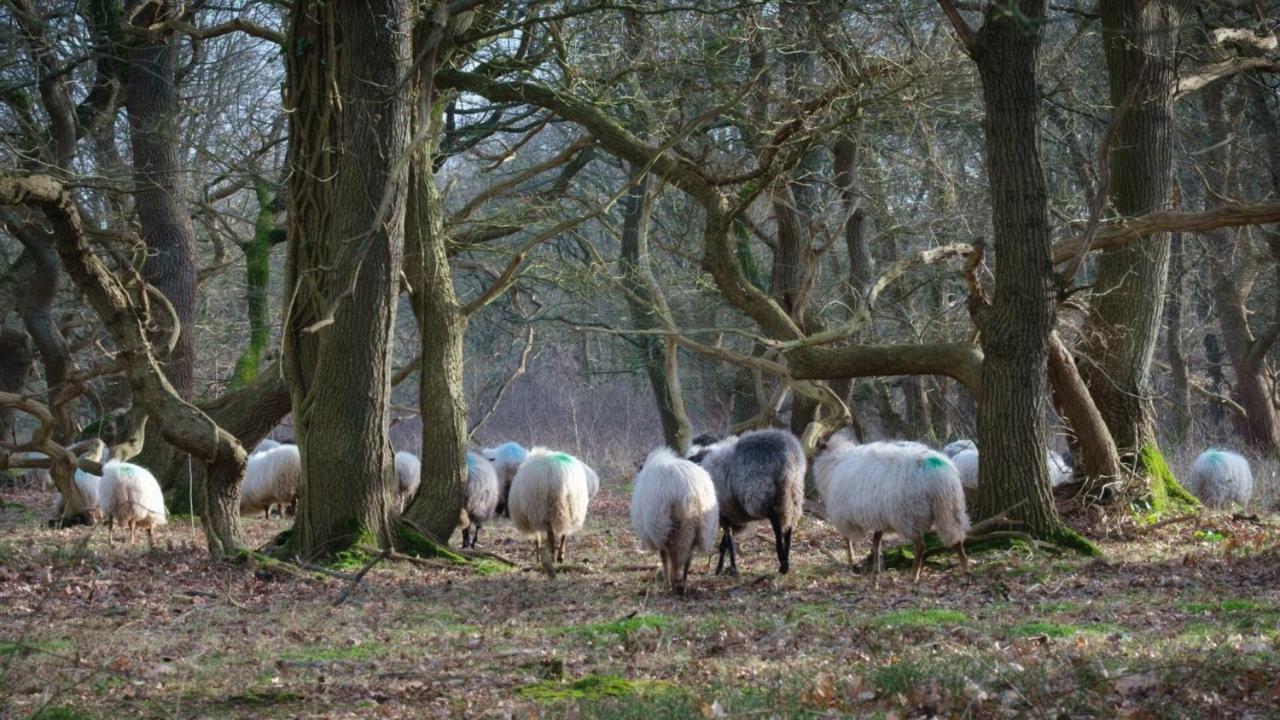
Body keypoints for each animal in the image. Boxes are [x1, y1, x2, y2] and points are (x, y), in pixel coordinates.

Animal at [506, 445, 591, 573]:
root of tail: (560, 476)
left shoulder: (533, 515)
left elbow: (538, 539)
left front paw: (538, 558)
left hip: (545, 509)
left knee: (550, 535)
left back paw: (552, 556)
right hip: (572, 508)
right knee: (564, 532)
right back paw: (560, 555)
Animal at [629, 445, 721, 591]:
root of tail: (689, 491)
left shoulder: (657, 534)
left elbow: (663, 556)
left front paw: (666, 582)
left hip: (663, 522)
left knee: (672, 552)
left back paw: (672, 583)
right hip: (700, 525)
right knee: (688, 555)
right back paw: (682, 583)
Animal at [696, 427, 803, 573]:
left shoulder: (724, 513)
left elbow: (728, 541)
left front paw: (731, 569)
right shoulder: (732, 516)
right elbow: (725, 543)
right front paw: (721, 568)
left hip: (758, 492)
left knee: (775, 519)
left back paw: (781, 558)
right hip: (792, 492)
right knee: (788, 523)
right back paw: (785, 562)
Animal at [819, 438, 967, 584]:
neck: (834, 462)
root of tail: (940, 474)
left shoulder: (844, 516)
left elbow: (848, 539)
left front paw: (852, 561)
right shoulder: (879, 517)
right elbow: (876, 542)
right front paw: (876, 569)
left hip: (908, 515)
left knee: (921, 545)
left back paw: (914, 575)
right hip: (949, 510)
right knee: (956, 538)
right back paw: (965, 568)